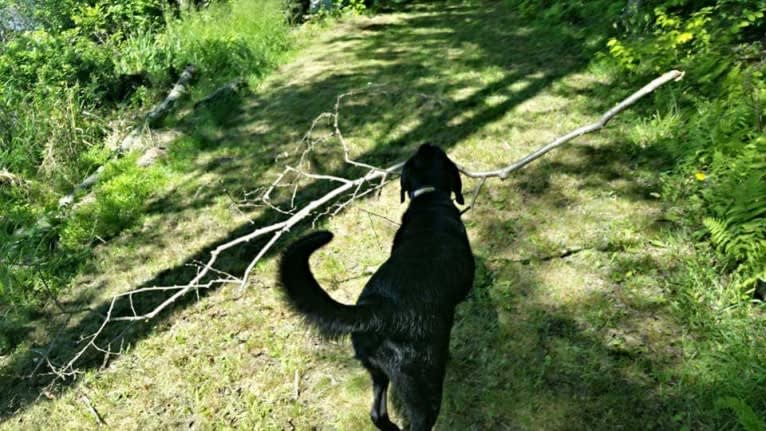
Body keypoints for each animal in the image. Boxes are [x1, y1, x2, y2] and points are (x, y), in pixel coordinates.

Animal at [280, 145, 476, 431]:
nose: (426, 145)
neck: (428, 198)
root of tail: (376, 309)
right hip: (421, 382)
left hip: (378, 372)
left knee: (377, 413)